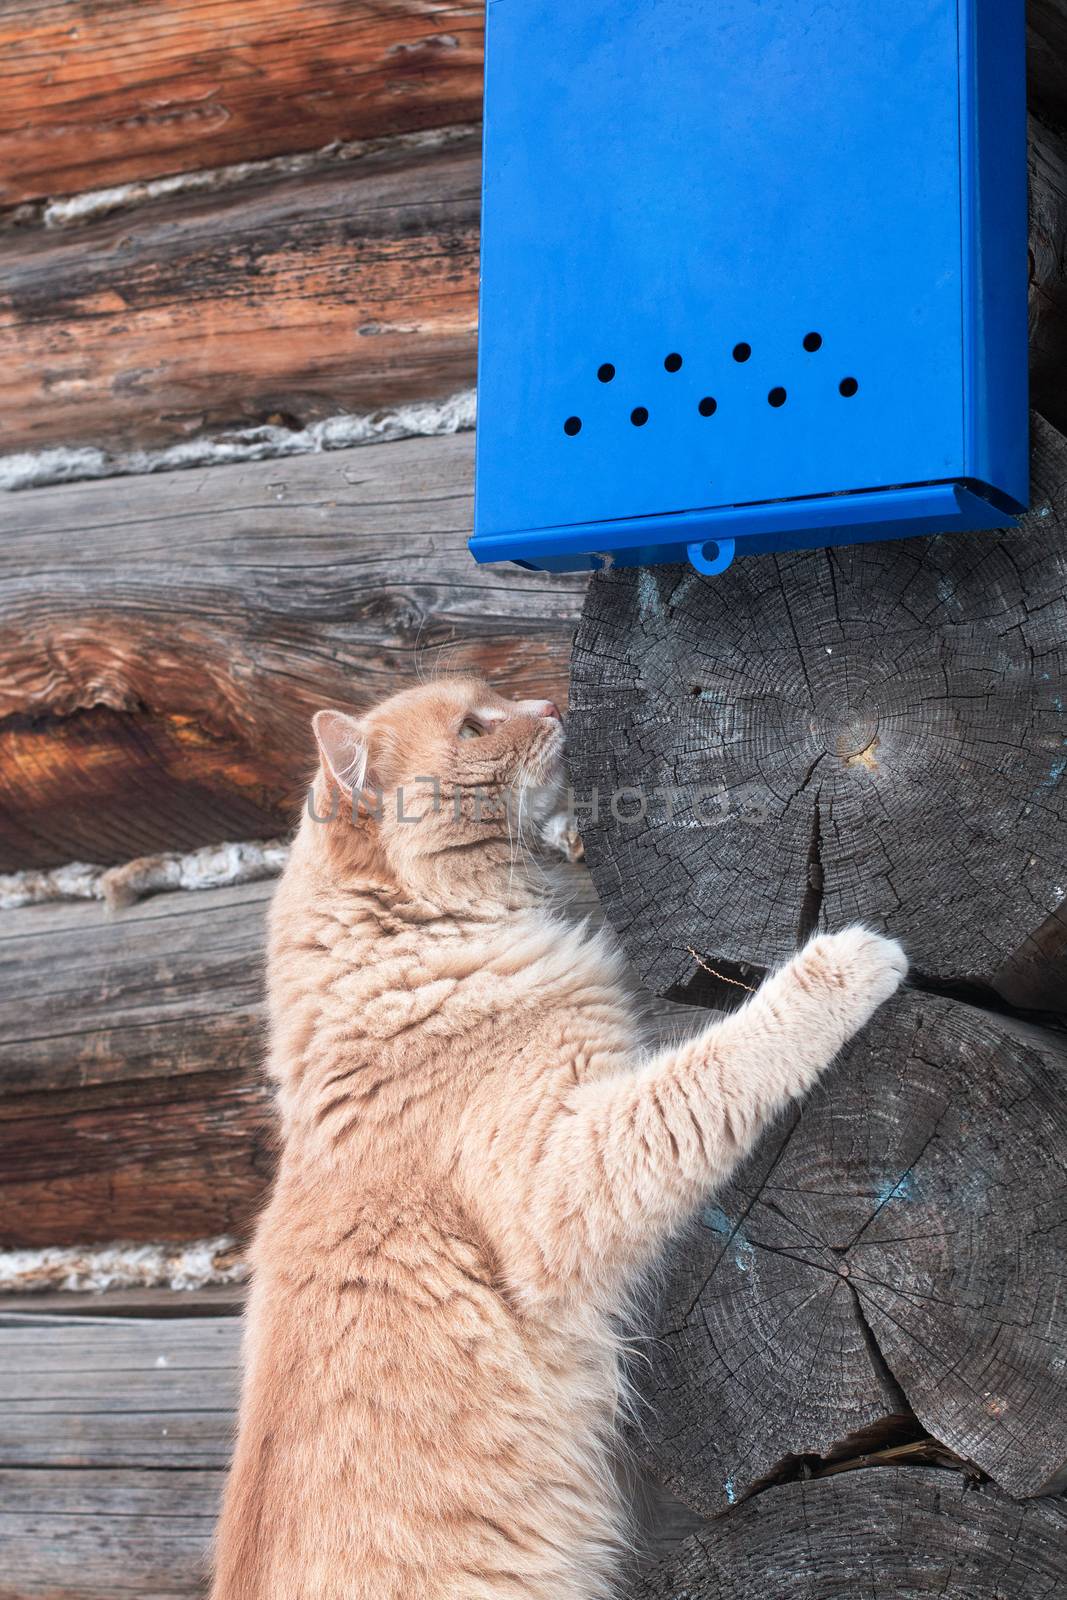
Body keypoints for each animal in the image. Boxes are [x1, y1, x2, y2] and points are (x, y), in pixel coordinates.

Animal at [211, 675, 908, 1600]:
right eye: (474, 728)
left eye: (494, 700)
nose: (546, 707)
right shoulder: (570, 1171)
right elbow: (722, 1060)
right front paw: (842, 966)